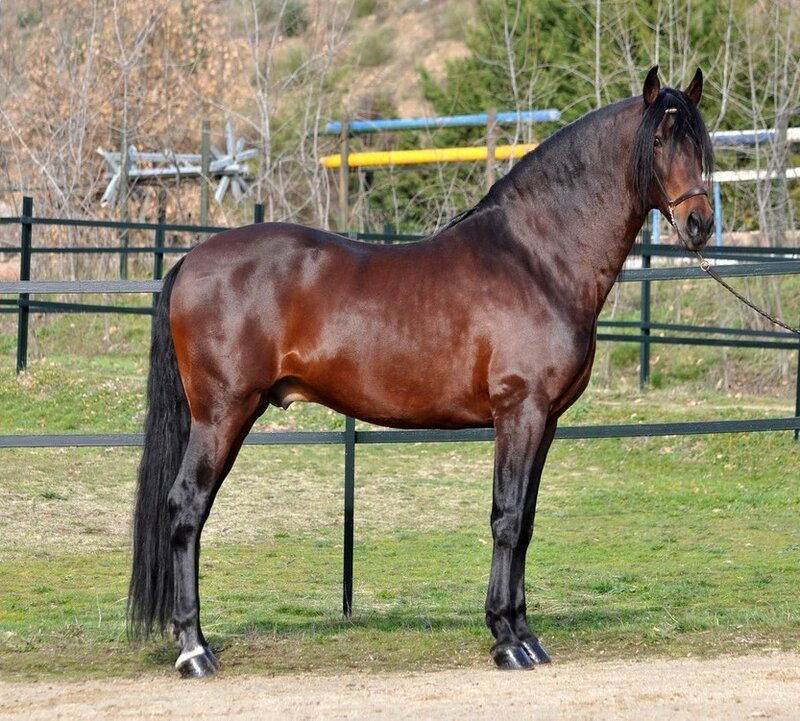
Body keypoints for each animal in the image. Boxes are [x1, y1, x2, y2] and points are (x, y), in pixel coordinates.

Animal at [128, 66, 714, 677]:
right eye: (658, 140)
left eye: (700, 141)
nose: (700, 223)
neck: (536, 258)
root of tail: (191, 260)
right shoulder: (519, 412)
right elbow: (507, 518)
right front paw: (507, 642)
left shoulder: (545, 421)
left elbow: (526, 521)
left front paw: (526, 635)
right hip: (222, 414)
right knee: (187, 507)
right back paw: (194, 649)